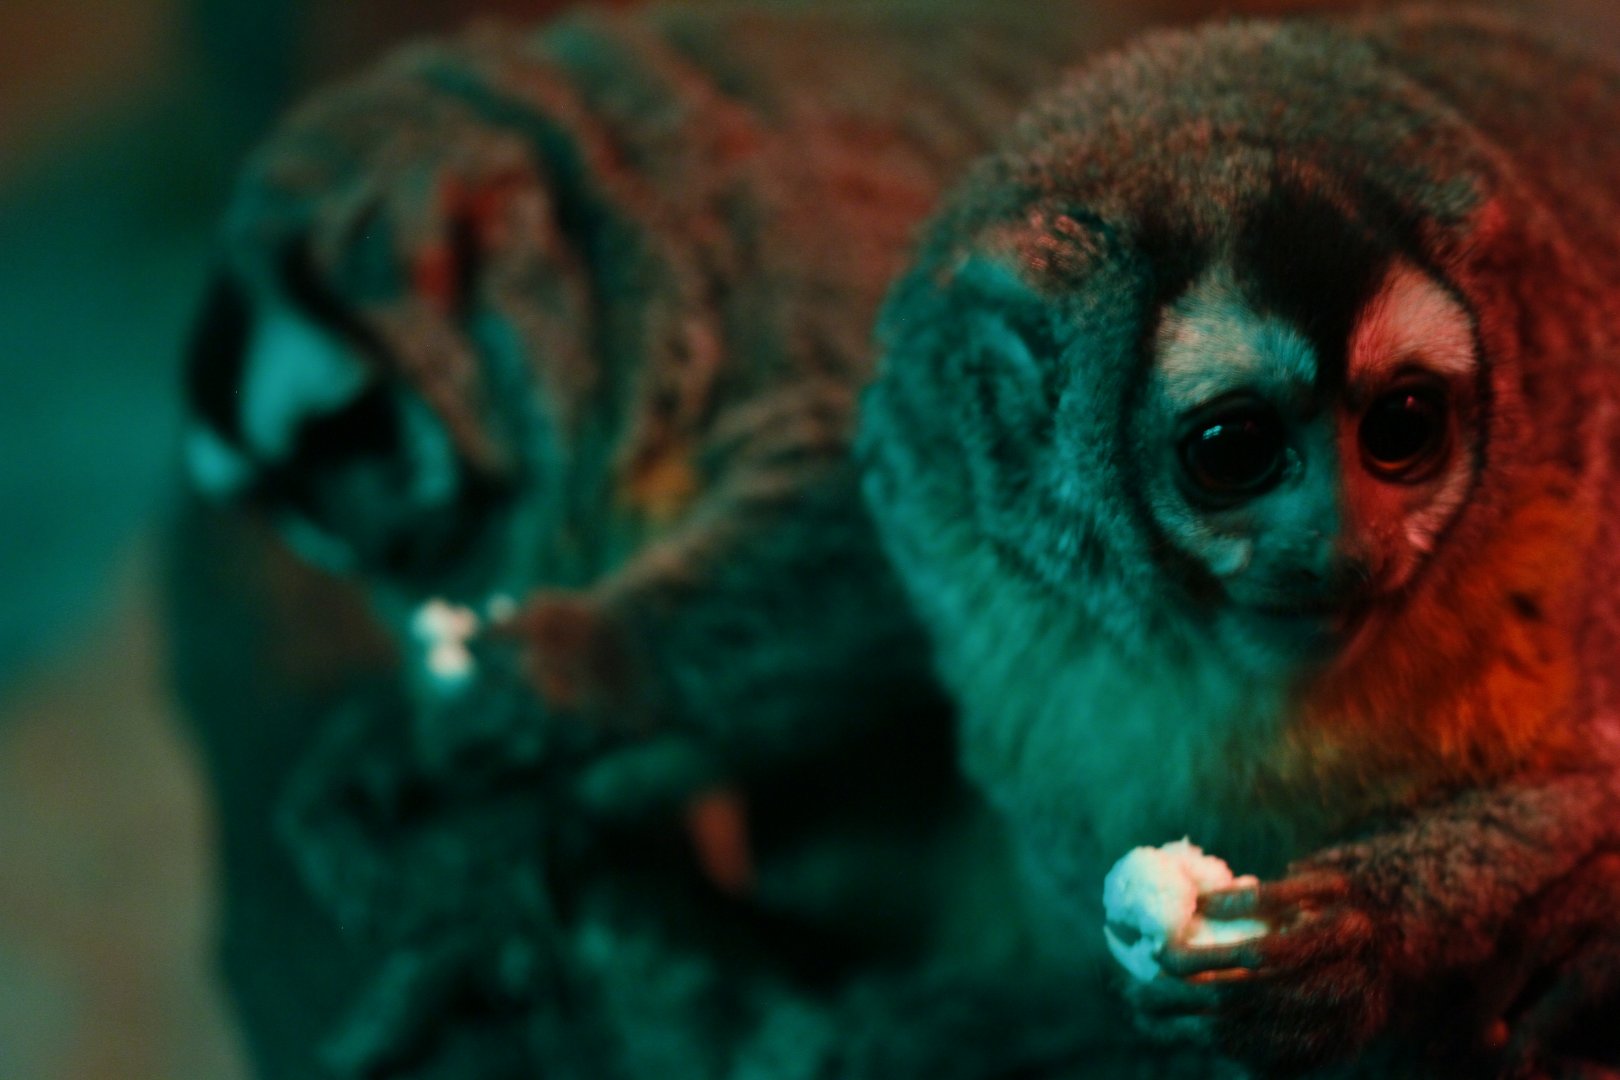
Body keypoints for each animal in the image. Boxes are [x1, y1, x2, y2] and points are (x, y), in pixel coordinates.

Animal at [859, 7, 1620, 1077]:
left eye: (1402, 427)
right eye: (1235, 450)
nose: (1346, 548)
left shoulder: (1562, 511)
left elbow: (1590, 784)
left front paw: (1361, 938)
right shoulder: (966, 568)